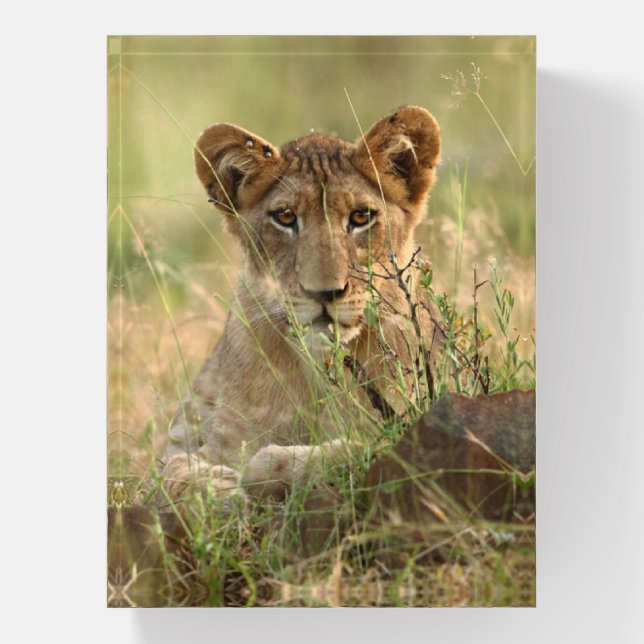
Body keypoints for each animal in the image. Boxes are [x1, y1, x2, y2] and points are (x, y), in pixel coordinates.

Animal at [162, 105, 442, 504]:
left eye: (361, 217)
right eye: (286, 217)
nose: (324, 293)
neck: (320, 372)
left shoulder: (412, 420)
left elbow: (356, 448)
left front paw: (259, 471)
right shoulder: (222, 437)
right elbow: (170, 471)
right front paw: (217, 489)